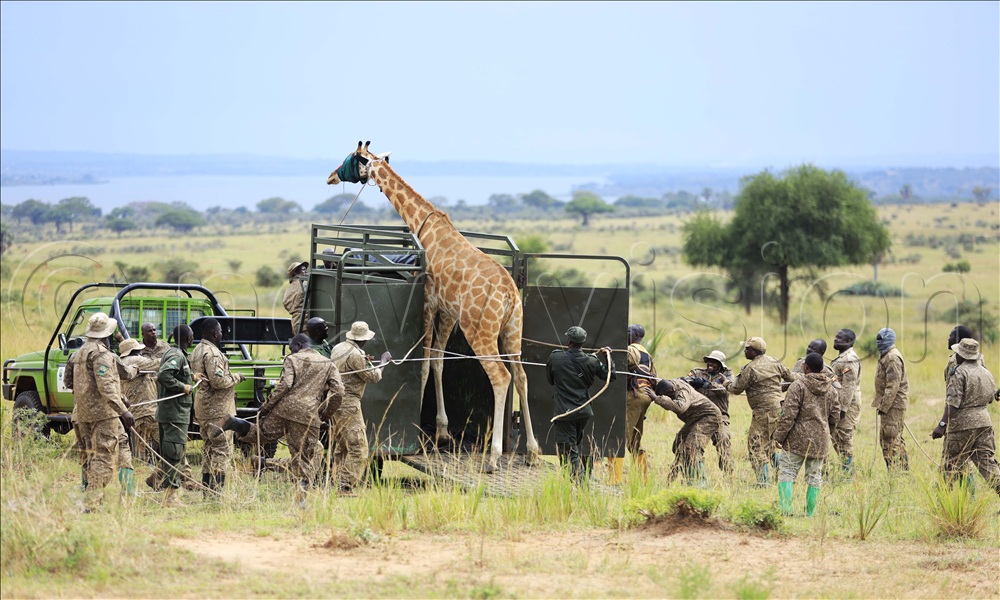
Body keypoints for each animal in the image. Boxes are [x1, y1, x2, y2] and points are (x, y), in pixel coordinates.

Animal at [327, 141, 540, 472]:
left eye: (349, 157)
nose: (331, 178)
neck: (426, 228)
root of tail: (509, 294)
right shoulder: (447, 312)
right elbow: (439, 361)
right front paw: (442, 432)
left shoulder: (428, 303)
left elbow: (425, 364)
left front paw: (423, 434)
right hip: (512, 329)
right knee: (521, 376)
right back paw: (531, 451)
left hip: (480, 331)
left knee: (501, 377)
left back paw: (493, 457)